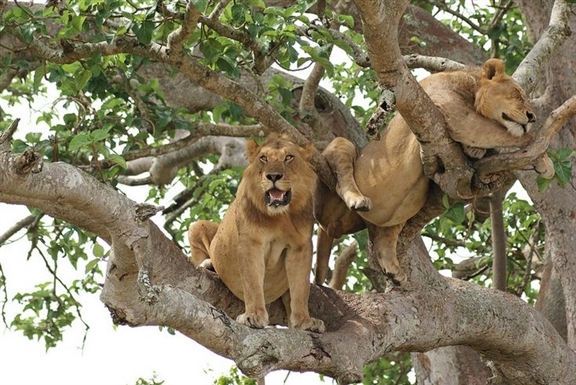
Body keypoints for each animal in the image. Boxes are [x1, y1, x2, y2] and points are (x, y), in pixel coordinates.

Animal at [189, 134, 324, 332]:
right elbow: (252, 282)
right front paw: (253, 316)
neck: (280, 216)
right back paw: (208, 264)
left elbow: (300, 289)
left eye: (289, 157)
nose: (273, 176)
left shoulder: (301, 246)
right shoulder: (250, 242)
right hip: (197, 226)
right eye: (263, 158)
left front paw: (304, 322)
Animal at [316, 57, 552, 284]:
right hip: (341, 147)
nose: (532, 117)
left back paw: (393, 270)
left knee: (384, 237)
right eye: (517, 94)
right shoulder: (451, 109)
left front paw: (476, 150)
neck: (471, 87)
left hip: (393, 218)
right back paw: (357, 199)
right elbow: (514, 135)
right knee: (342, 176)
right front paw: (546, 160)